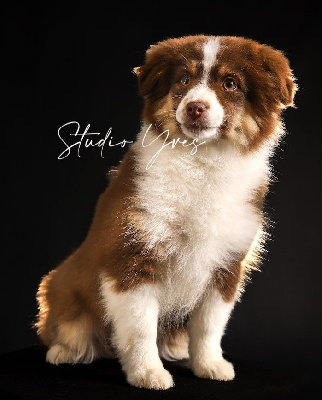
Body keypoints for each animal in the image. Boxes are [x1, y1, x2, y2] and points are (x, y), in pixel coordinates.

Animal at [35, 36, 296, 390]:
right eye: (183, 80)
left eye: (230, 83)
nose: (195, 107)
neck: (201, 161)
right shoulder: (132, 255)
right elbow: (140, 326)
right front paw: (148, 373)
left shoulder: (227, 265)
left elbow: (210, 326)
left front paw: (210, 365)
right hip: (61, 285)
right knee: (65, 325)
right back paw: (65, 351)